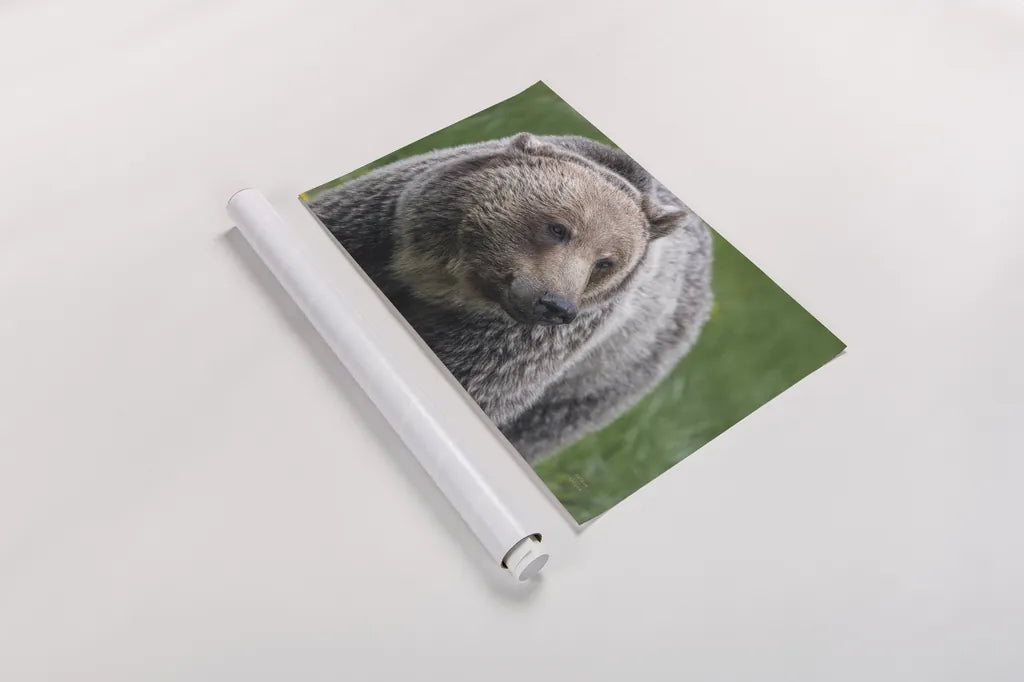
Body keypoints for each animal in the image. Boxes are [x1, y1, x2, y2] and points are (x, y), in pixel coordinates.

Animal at [307, 133, 713, 464]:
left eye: (605, 261)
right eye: (558, 228)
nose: (556, 304)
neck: (450, 278)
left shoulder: (517, 339)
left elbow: (476, 380)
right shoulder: (382, 225)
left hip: (610, 372)